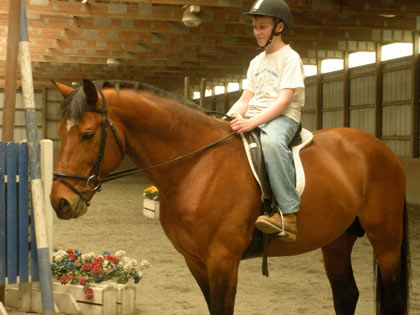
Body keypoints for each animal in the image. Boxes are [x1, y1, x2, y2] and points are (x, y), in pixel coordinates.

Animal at [50, 79, 410, 315]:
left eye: (87, 134)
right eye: (61, 133)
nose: (60, 202)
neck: (197, 165)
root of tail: (380, 148)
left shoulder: (222, 261)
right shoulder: (195, 261)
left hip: (385, 239)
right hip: (336, 240)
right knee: (346, 295)